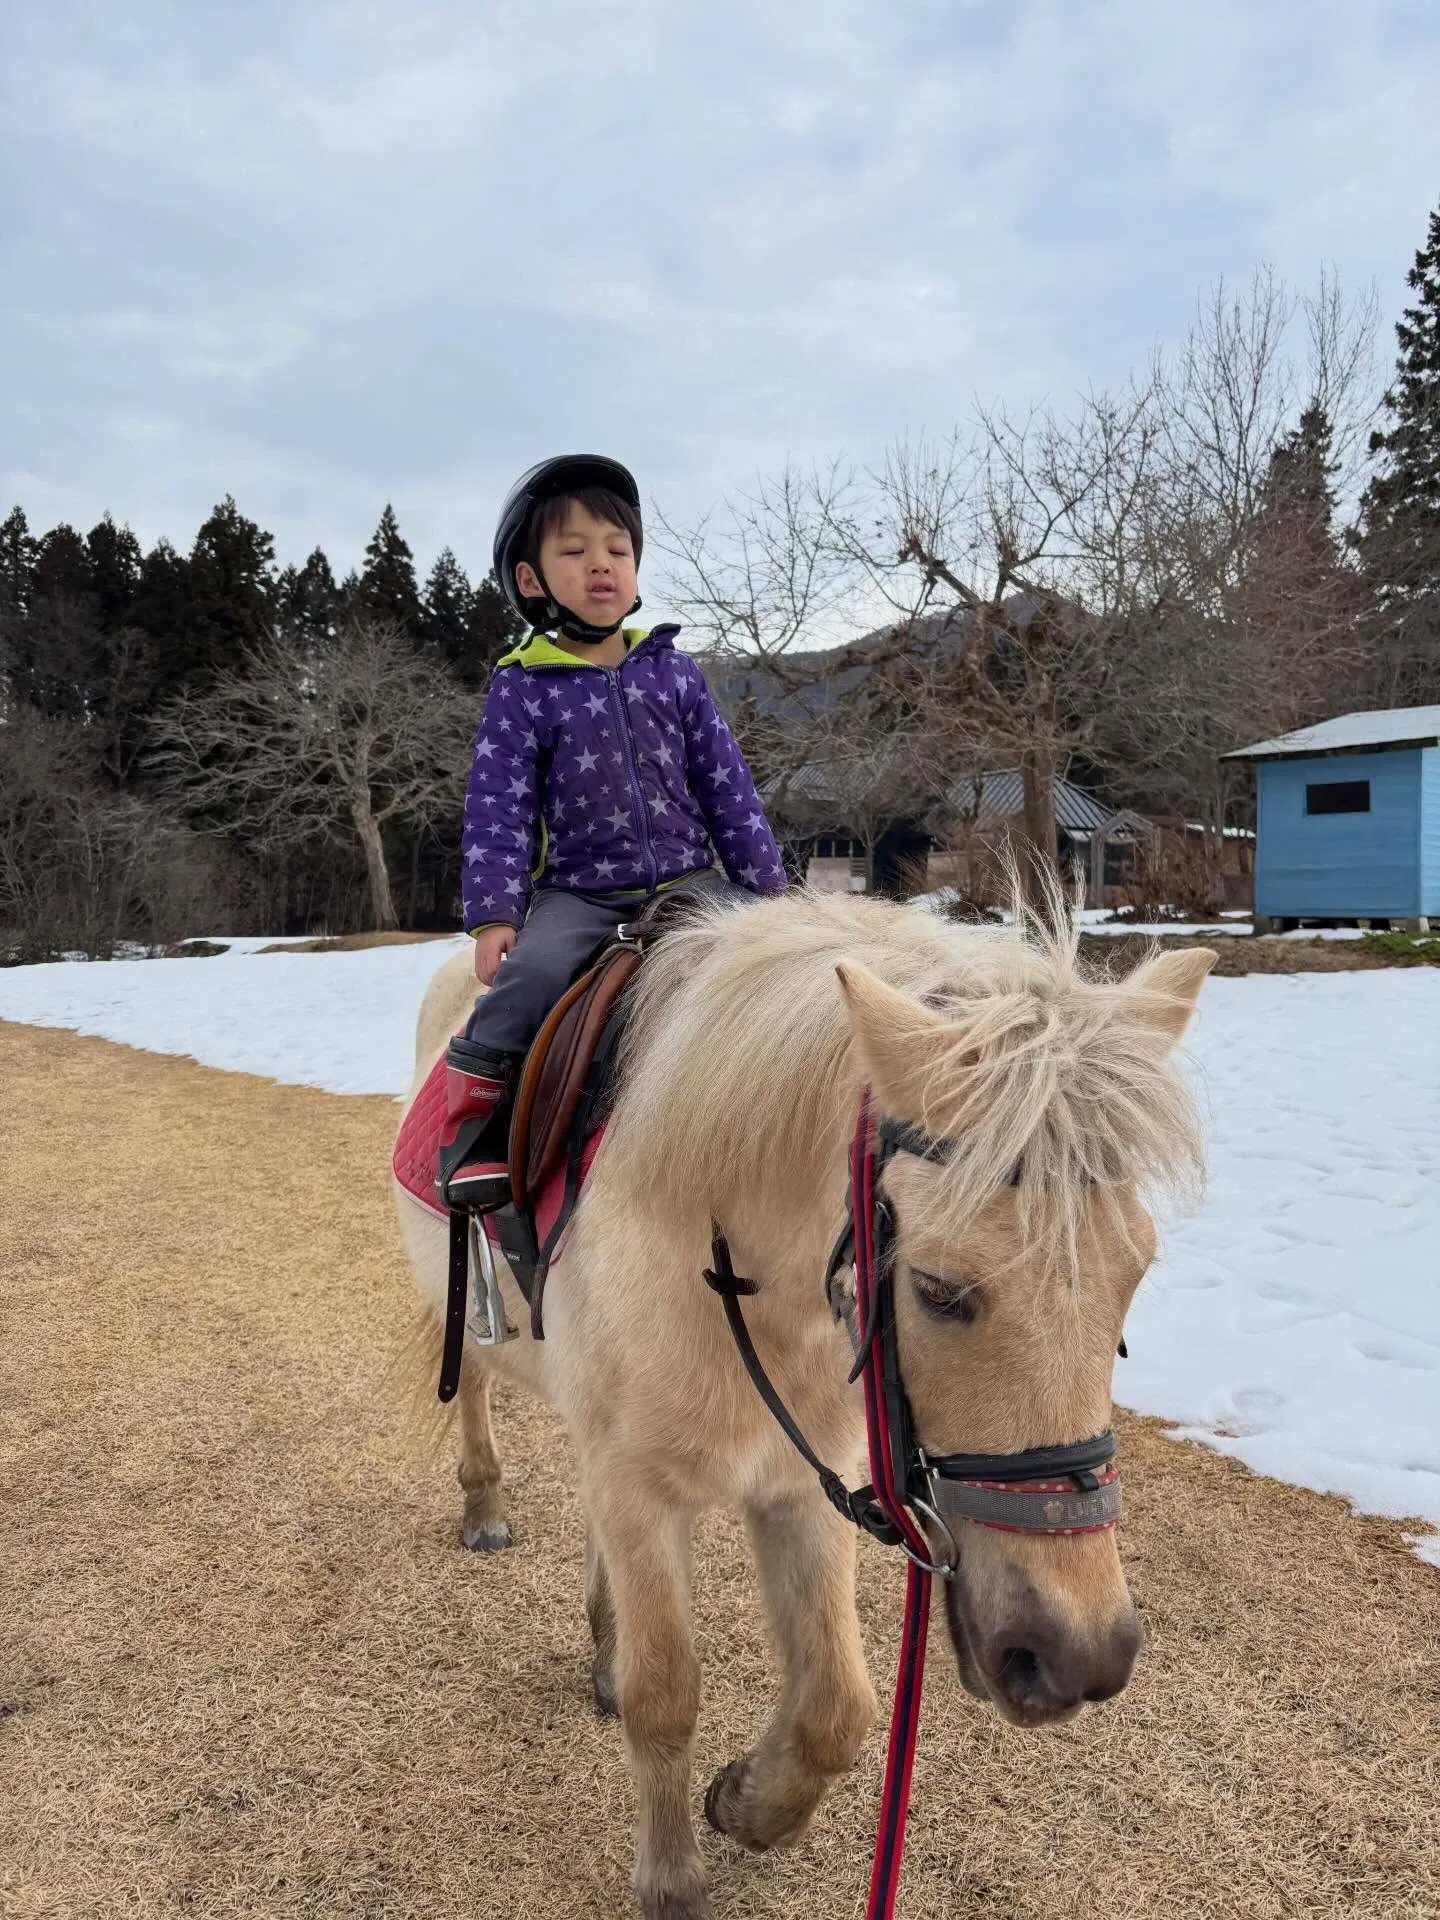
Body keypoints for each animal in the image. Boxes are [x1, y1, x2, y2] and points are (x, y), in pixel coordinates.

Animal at [392, 887, 1213, 1920]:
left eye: (1135, 1275)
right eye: (938, 1290)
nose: (1079, 1655)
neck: (727, 1263)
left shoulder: (802, 1480)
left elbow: (837, 1706)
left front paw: (750, 1804)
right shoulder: (639, 1486)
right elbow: (667, 1696)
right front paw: (672, 1883)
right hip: (470, 1316)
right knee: (473, 1391)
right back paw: (485, 1508)